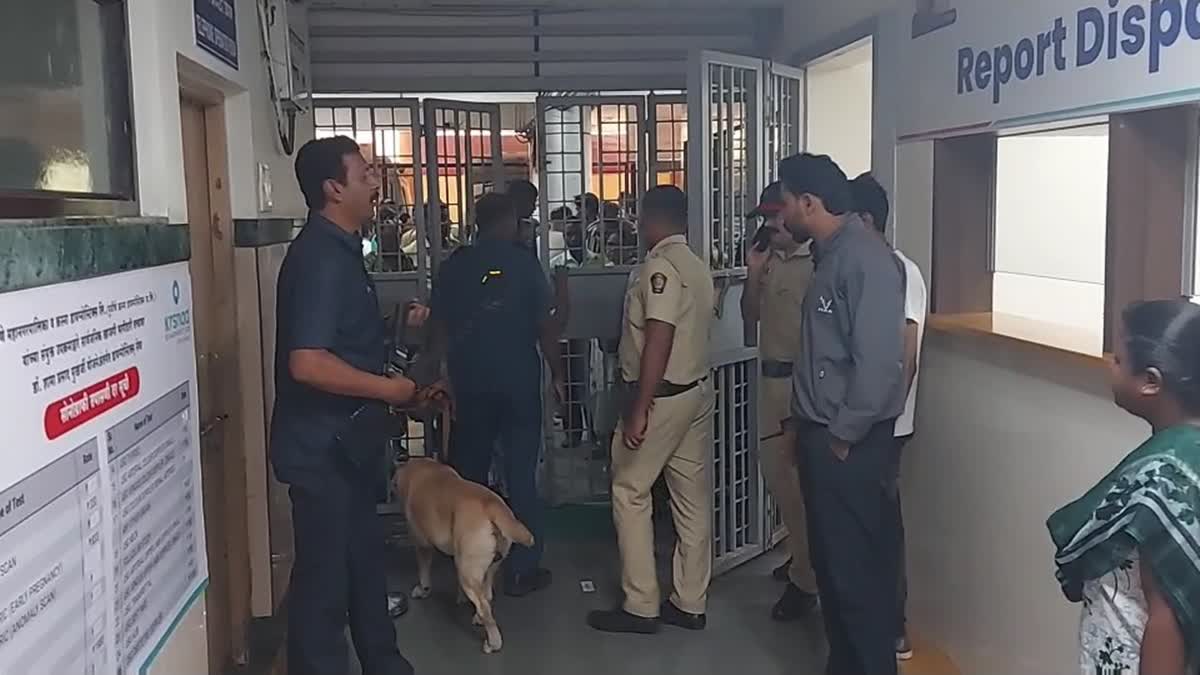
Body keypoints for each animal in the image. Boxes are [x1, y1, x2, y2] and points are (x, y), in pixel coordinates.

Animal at [393, 454, 535, 648]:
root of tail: (491, 505)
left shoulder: (422, 545)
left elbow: (423, 573)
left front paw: (423, 590)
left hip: (467, 572)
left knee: (484, 605)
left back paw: (493, 642)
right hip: (487, 566)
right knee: (487, 596)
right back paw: (479, 618)